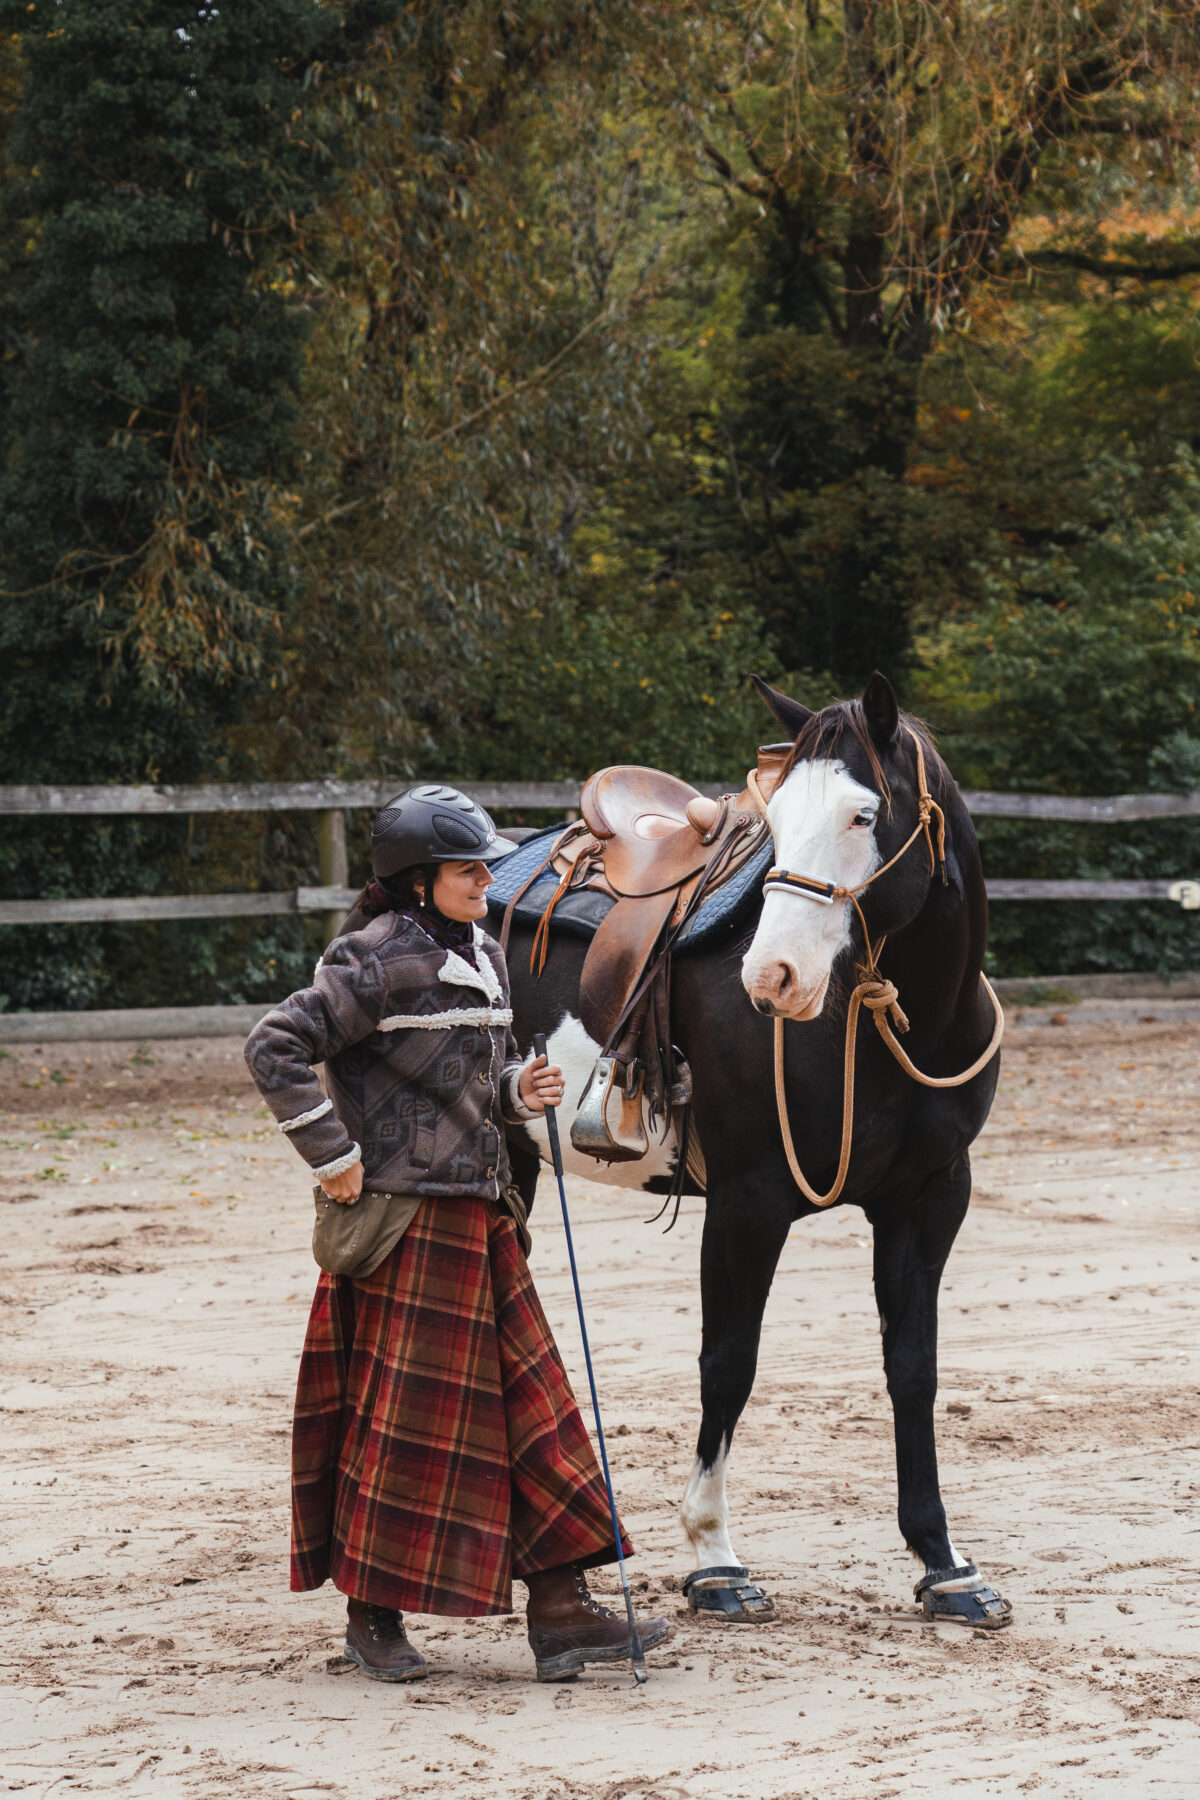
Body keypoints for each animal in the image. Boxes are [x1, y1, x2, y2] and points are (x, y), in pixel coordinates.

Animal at [501, 672, 1011, 1628]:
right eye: (776, 819)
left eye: (862, 814)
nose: (771, 978)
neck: (878, 1029)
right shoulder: (749, 1203)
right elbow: (728, 1364)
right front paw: (715, 1559)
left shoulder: (930, 1201)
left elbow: (912, 1367)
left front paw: (944, 1563)